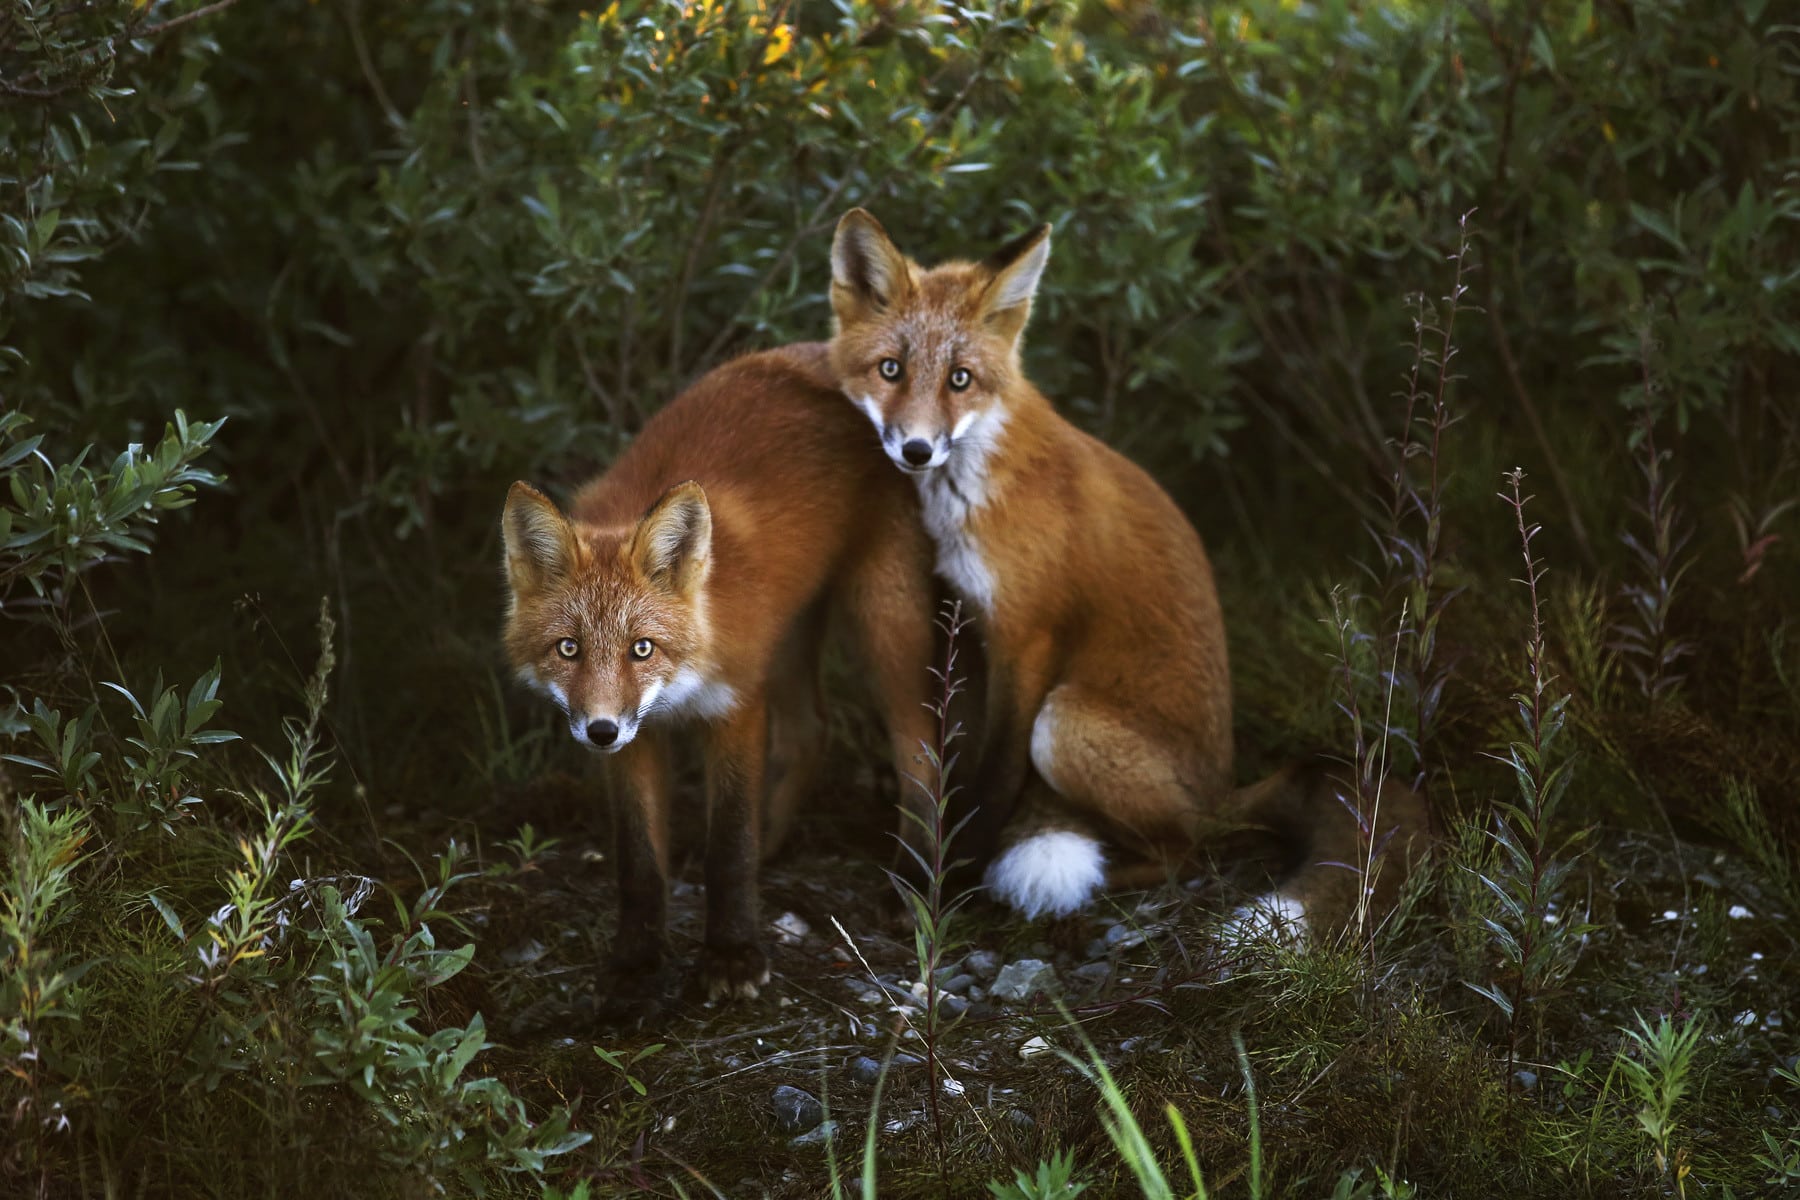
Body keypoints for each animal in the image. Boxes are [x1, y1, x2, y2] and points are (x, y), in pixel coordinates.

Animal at [500, 341, 936, 1007]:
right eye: (568, 649)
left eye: (642, 648)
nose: (599, 732)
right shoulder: (637, 738)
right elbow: (638, 864)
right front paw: (635, 963)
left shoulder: (735, 704)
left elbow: (727, 847)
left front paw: (732, 954)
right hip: (789, 633)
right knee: (811, 732)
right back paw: (775, 843)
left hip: (885, 621)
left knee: (920, 750)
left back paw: (912, 884)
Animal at [824, 211, 1425, 935]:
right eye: (891, 369)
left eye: (960, 379)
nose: (916, 449)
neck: (972, 487)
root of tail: (1223, 788)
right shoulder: (969, 619)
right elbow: (955, 754)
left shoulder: (1029, 636)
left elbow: (995, 776)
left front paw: (962, 875)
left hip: (1065, 723)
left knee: (1191, 847)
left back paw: (1086, 879)